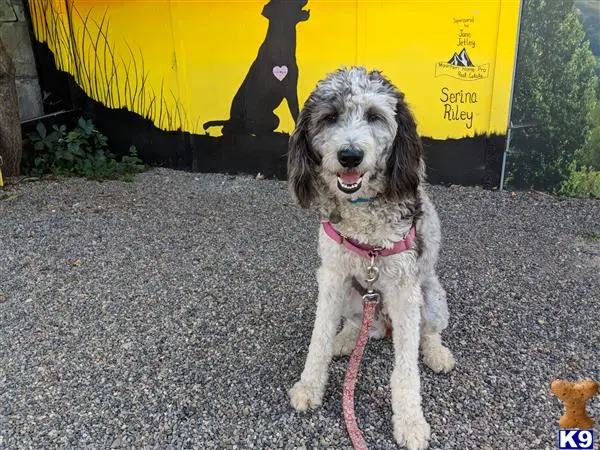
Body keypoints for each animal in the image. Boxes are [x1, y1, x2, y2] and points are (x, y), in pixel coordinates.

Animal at [286, 67, 454, 450]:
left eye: (375, 116)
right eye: (330, 117)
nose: (349, 155)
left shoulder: (405, 288)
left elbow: (406, 369)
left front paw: (410, 422)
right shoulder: (332, 275)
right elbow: (318, 337)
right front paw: (309, 386)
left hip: (431, 296)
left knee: (428, 331)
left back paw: (437, 353)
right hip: (354, 294)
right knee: (361, 324)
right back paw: (348, 338)